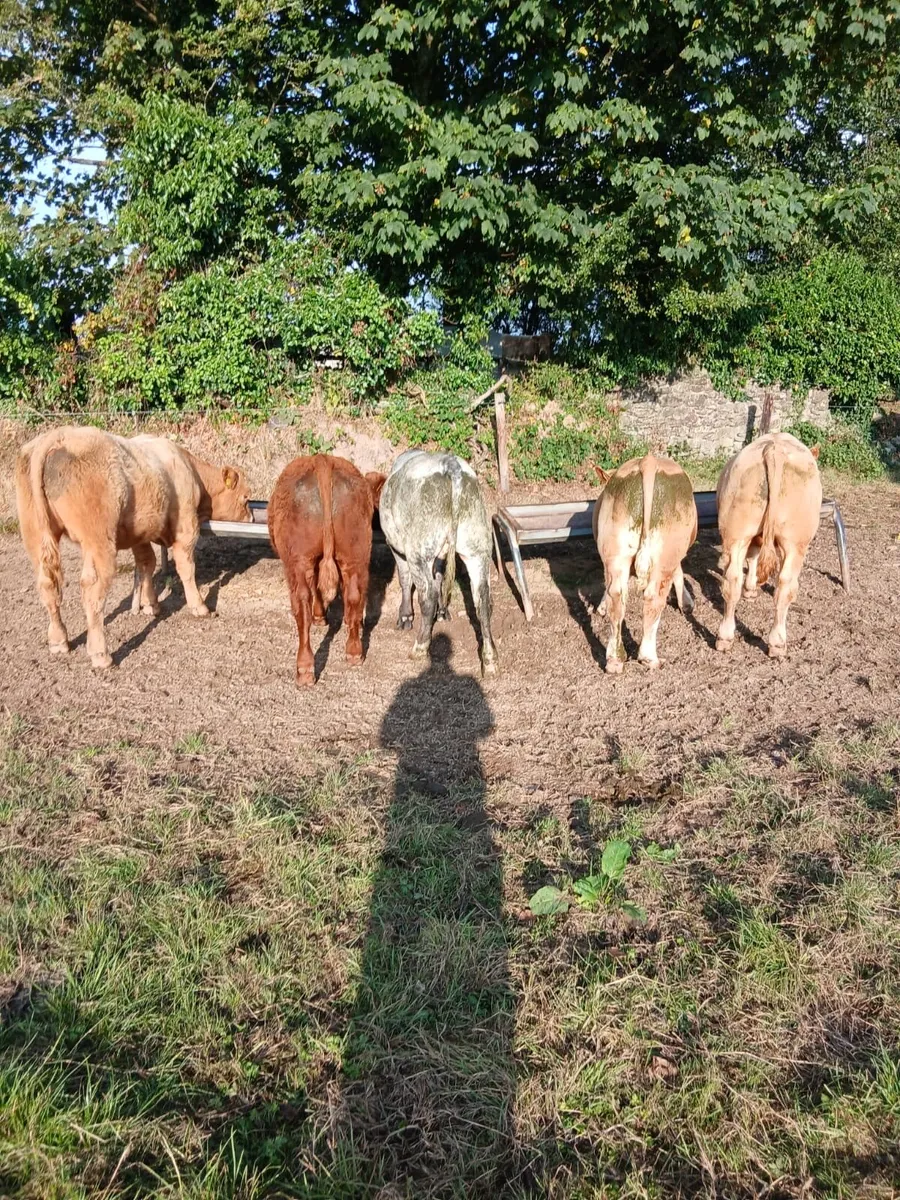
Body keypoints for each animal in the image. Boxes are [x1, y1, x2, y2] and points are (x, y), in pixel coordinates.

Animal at [15, 426, 251, 669]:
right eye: (245, 498)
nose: (252, 517)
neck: (192, 472)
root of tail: (60, 435)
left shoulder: (141, 534)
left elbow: (147, 563)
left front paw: (150, 604)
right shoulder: (186, 528)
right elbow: (186, 569)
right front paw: (199, 606)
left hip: (36, 534)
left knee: (47, 583)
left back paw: (58, 640)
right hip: (99, 541)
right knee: (92, 589)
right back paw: (100, 654)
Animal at [268, 454, 386, 686]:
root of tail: (322, 460)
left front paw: (320, 616)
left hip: (299, 561)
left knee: (302, 602)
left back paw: (304, 669)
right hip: (355, 551)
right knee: (354, 594)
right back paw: (354, 652)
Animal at [378, 449, 498, 676]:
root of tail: (452, 465)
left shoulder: (396, 547)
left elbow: (405, 580)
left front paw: (405, 617)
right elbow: (440, 578)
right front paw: (442, 612)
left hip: (418, 551)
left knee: (427, 595)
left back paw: (420, 646)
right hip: (478, 549)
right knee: (483, 599)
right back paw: (490, 660)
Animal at [592, 453, 697, 673]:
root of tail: (648, 461)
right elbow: (679, 572)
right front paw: (686, 602)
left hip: (616, 554)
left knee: (616, 595)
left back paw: (615, 660)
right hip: (667, 554)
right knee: (654, 598)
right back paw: (650, 658)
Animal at [715, 432, 822, 658]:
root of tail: (774, 448)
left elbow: (753, 557)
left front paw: (750, 588)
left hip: (737, 534)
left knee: (733, 580)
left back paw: (725, 637)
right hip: (796, 543)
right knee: (785, 587)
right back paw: (778, 643)